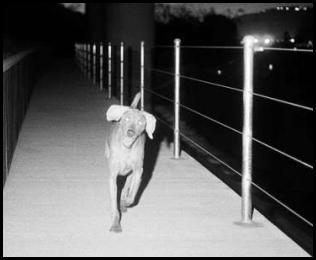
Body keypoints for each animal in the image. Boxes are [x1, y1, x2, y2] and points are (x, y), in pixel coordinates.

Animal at [105, 92, 157, 233]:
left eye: (140, 122)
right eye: (126, 119)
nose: (130, 132)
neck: (126, 149)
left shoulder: (138, 171)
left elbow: (133, 191)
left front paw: (126, 202)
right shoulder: (112, 176)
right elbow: (114, 203)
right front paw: (115, 224)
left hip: (130, 174)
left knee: (126, 186)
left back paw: (123, 202)